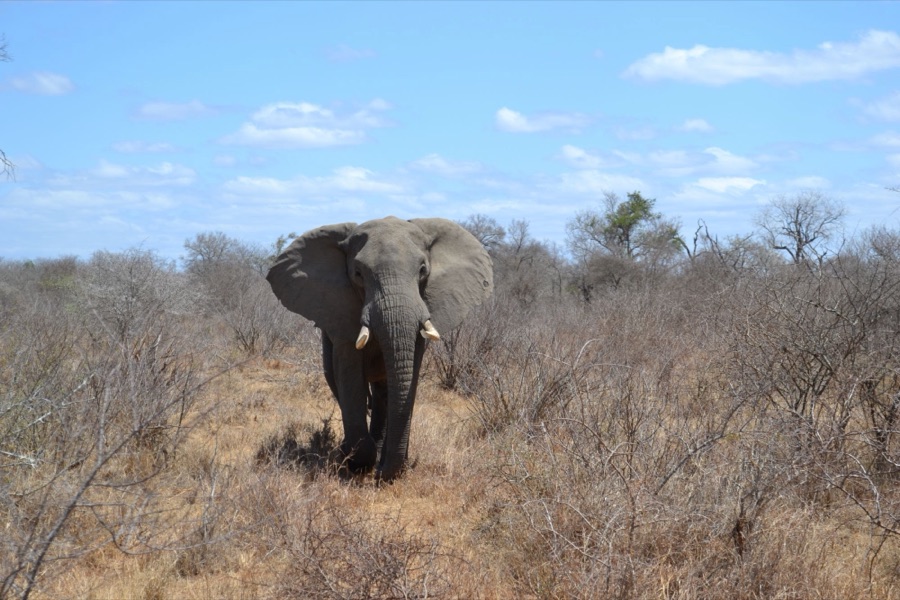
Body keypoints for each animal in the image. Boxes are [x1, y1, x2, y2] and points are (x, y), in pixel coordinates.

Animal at [267, 216, 493, 482]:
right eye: (358, 273)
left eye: (423, 270)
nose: (380, 473)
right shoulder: (340, 311)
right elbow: (349, 376)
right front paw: (359, 462)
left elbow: (409, 373)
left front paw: (383, 462)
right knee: (336, 381)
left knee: (383, 390)